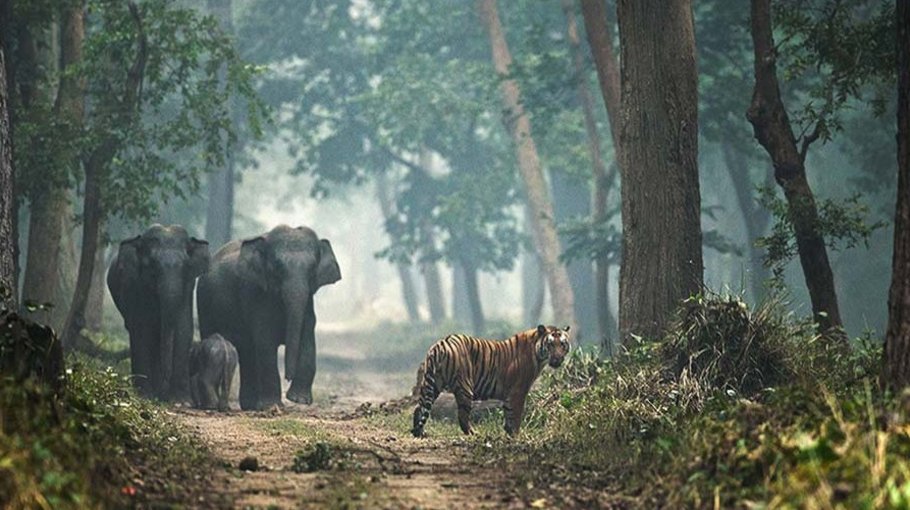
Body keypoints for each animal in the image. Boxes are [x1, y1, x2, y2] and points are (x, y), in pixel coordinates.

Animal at [107, 224, 210, 401]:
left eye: (186, 266)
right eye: (152, 266)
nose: (163, 394)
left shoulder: (188, 287)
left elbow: (183, 329)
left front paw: (182, 401)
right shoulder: (136, 285)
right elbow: (141, 330)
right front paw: (145, 395)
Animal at [197, 225, 341, 410]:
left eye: (312, 267)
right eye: (277, 266)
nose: (288, 377)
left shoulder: (309, 304)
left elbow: (308, 340)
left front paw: (299, 400)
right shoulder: (256, 295)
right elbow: (265, 342)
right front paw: (273, 405)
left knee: (248, 351)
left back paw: (251, 405)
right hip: (204, 302)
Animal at [411, 324, 571, 438]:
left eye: (562, 344)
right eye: (550, 344)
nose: (557, 359)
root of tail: (441, 343)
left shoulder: (509, 394)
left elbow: (508, 414)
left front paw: (509, 432)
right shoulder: (519, 391)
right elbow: (516, 415)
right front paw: (516, 435)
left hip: (431, 384)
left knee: (419, 408)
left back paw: (419, 432)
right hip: (464, 386)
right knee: (462, 416)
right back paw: (473, 433)